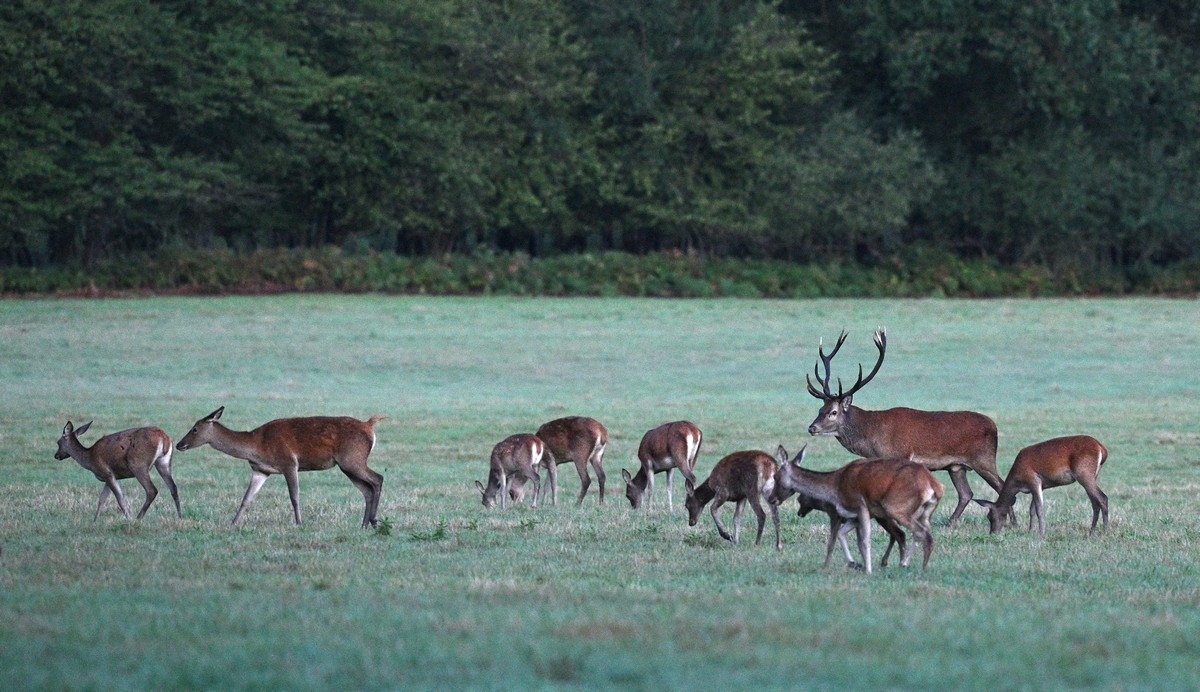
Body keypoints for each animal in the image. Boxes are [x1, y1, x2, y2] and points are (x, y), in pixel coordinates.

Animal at [176, 407, 385, 528]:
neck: (257, 446)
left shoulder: (289, 462)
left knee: (377, 479)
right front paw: (233, 523)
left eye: (195, 429)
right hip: (347, 465)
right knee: (367, 489)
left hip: (352, 458)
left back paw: (374, 521)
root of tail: (369, 426)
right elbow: (246, 498)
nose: (179, 444)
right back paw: (364, 525)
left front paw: (299, 524)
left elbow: (294, 497)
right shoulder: (260, 470)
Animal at [768, 445, 943, 574]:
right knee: (919, 532)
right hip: (925, 512)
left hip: (895, 506)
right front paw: (855, 563)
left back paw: (921, 567)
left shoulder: (860, 506)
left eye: (775, 477)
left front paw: (867, 570)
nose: (771, 498)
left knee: (922, 533)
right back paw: (905, 563)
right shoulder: (853, 516)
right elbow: (844, 535)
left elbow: (863, 540)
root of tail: (935, 485)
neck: (835, 488)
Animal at [805, 328, 1006, 525]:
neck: (872, 438)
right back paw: (950, 523)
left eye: (833, 412)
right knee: (966, 493)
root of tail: (994, 426)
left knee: (1001, 485)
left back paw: (1009, 523)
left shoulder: (901, 454)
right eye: (820, 409)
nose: (812, 428)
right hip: (956, 466)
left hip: (984, 459)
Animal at [974, 435, 1109, 535]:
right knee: (1095, 502)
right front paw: (1030, 531)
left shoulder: (1034, 480)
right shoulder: (1041, 486)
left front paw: (1042, 532)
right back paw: (1091, 532)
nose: (992, 533)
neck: (1017, 481)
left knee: (1102, 497)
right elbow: (1031, 509)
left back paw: (1105, 532)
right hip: (1092, 476)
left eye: (990, 516)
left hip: (1084, 474)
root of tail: (1102, 448)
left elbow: (1039, 508)